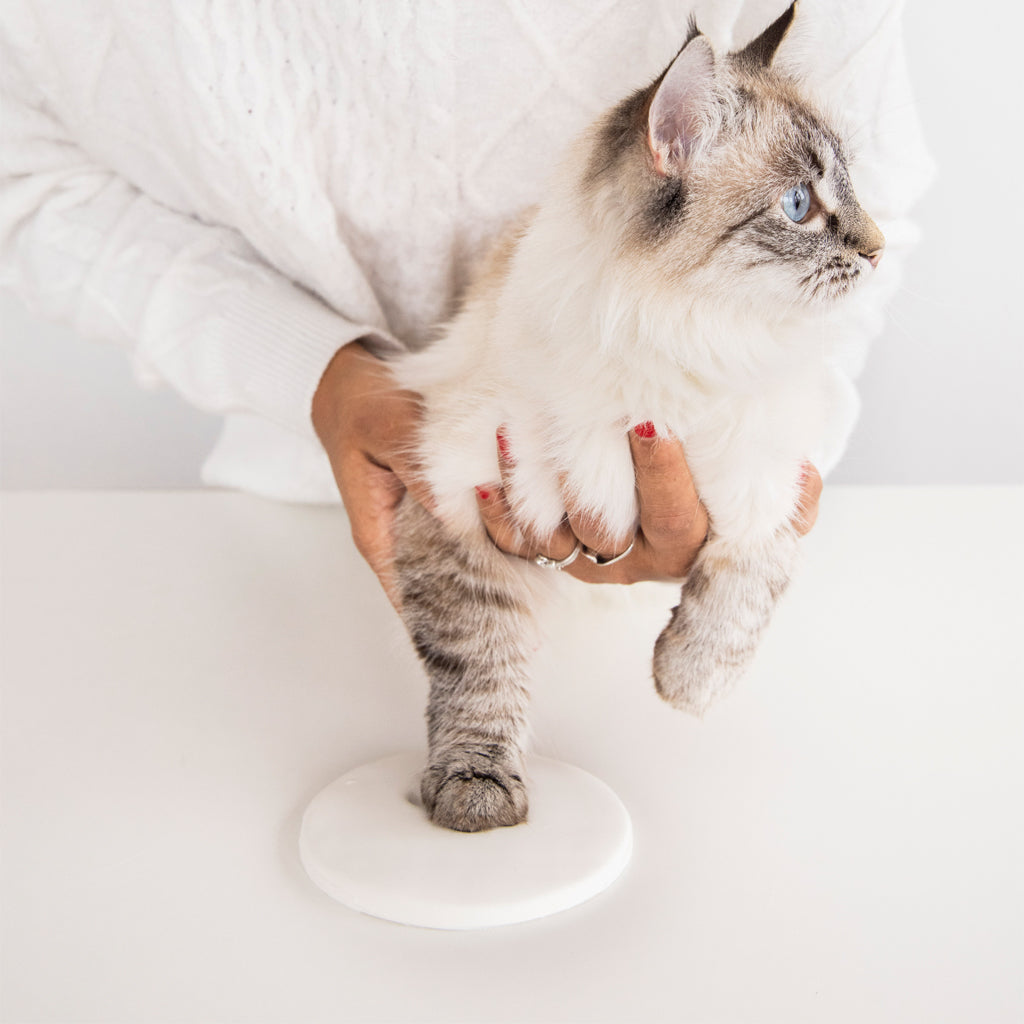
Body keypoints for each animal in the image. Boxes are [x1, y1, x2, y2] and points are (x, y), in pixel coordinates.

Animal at [387, 2, 884, 831]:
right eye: (799, 206)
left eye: (855, 188)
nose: (881, 250)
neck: (689, 344)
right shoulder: (455, 504)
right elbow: (481, 671)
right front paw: (475, 789)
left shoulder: (775, 475)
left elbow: (747, 586)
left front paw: (686, 682)